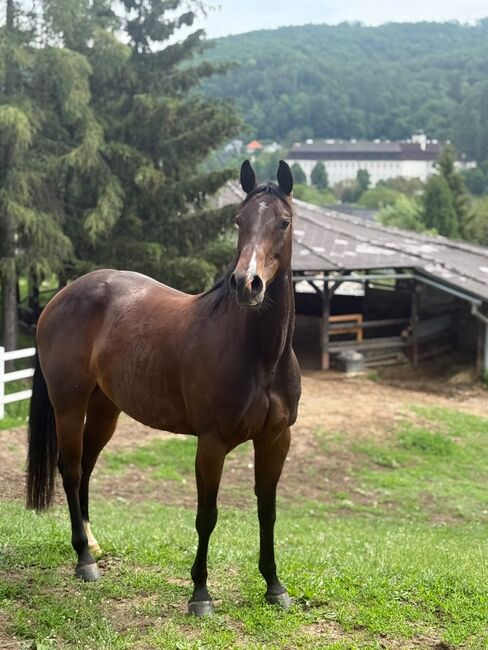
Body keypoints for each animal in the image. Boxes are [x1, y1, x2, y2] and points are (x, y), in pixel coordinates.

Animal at [26, 160, 301, 616]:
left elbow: (269, 510)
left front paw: (275, 586)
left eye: (283, 221)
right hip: (68, 404)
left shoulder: (276, 439)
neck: (261, 356)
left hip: (105, 410)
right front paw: (200, 594)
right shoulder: (211, 443)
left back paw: (94, 546)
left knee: (87, 468)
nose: (247, 284)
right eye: (239, 221)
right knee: (71, 469)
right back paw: (84, 560)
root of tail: (62, 295)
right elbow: (207, 515)